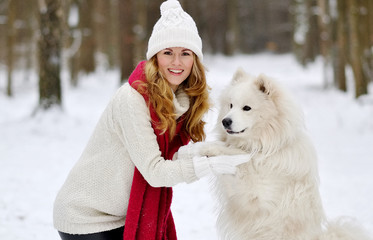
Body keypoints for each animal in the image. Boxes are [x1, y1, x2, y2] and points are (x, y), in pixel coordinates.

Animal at [202, 68, 370, 240]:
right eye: (230, 105)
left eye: (246, 108)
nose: (225, 121)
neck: (266, 146)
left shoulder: (257, 192)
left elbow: (239, 159)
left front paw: (209, 148)